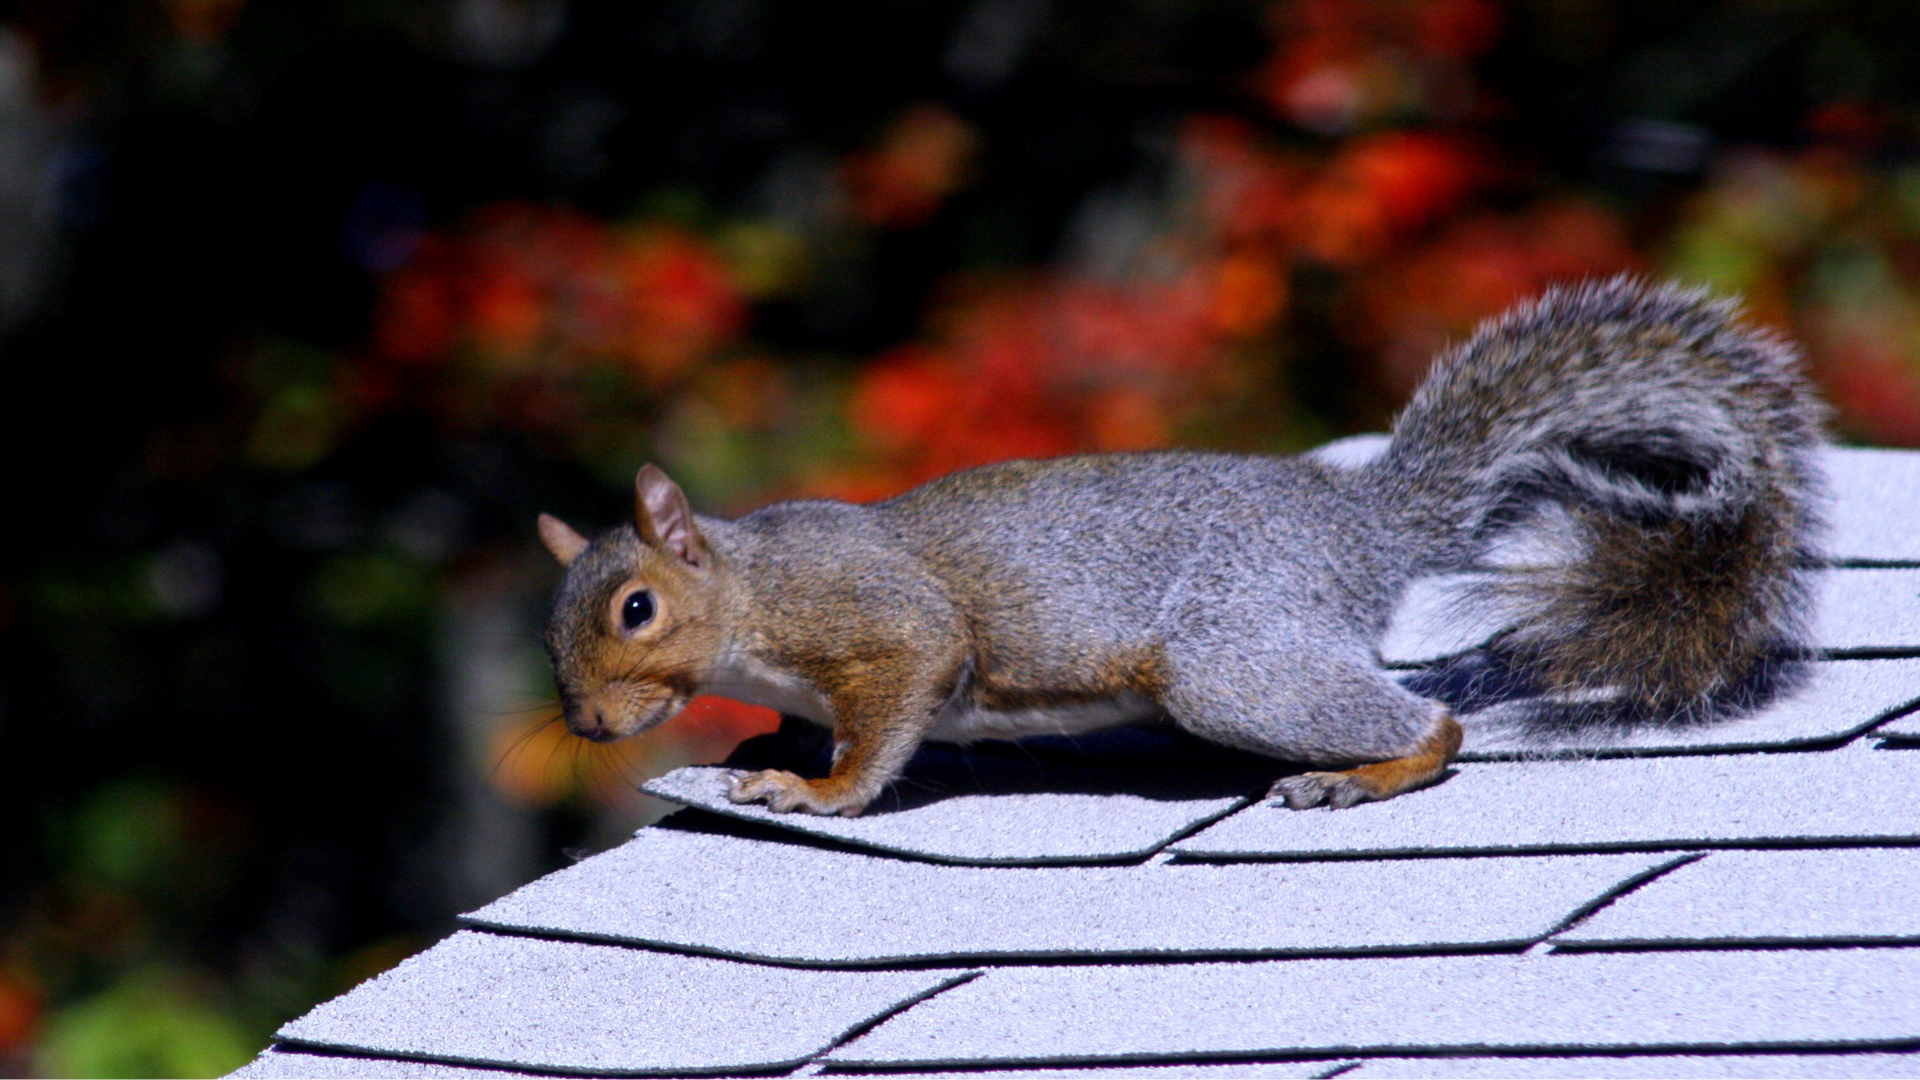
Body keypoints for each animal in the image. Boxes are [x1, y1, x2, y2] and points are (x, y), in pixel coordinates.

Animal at [535, 277, 1826, 816]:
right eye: (556, 629)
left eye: (636, 609)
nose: (589, 725)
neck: (752, 594)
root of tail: (1358, 529)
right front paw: (770, 741)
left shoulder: (883, 623)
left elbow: (892, 709)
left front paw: (818, 789)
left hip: (1229, 661)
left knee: (1434, 726)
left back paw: (1361, 775)